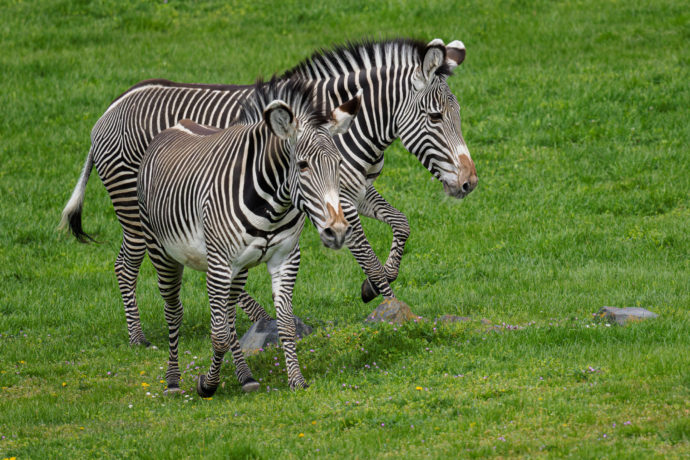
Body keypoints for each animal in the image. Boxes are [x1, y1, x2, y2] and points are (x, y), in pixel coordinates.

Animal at [59, 38, 477, 346]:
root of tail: (109, 109)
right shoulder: (337, 199)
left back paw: (260, 319)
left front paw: (373, 288)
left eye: (458, 115)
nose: (469, 183)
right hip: (137, 211)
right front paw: (394, 310)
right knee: (126, 265)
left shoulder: (355, 189)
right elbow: (365, 253)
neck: (355, 125)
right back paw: (140, 339)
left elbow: (402, 225)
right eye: (436, 117)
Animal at [138, 78, 360, 395]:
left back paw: (246, 377)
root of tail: (176, 125)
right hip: (162, 252)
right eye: (303, 165)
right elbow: (217, 334)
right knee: (174, 311)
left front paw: (297, 380)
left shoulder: (285, 258)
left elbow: (285, 324)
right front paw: (207, 385)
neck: (273, 205)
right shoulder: (219, 263)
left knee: (230, 317)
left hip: (239, 268)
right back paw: (172, 381)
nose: (338, 231)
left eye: (339, 164)